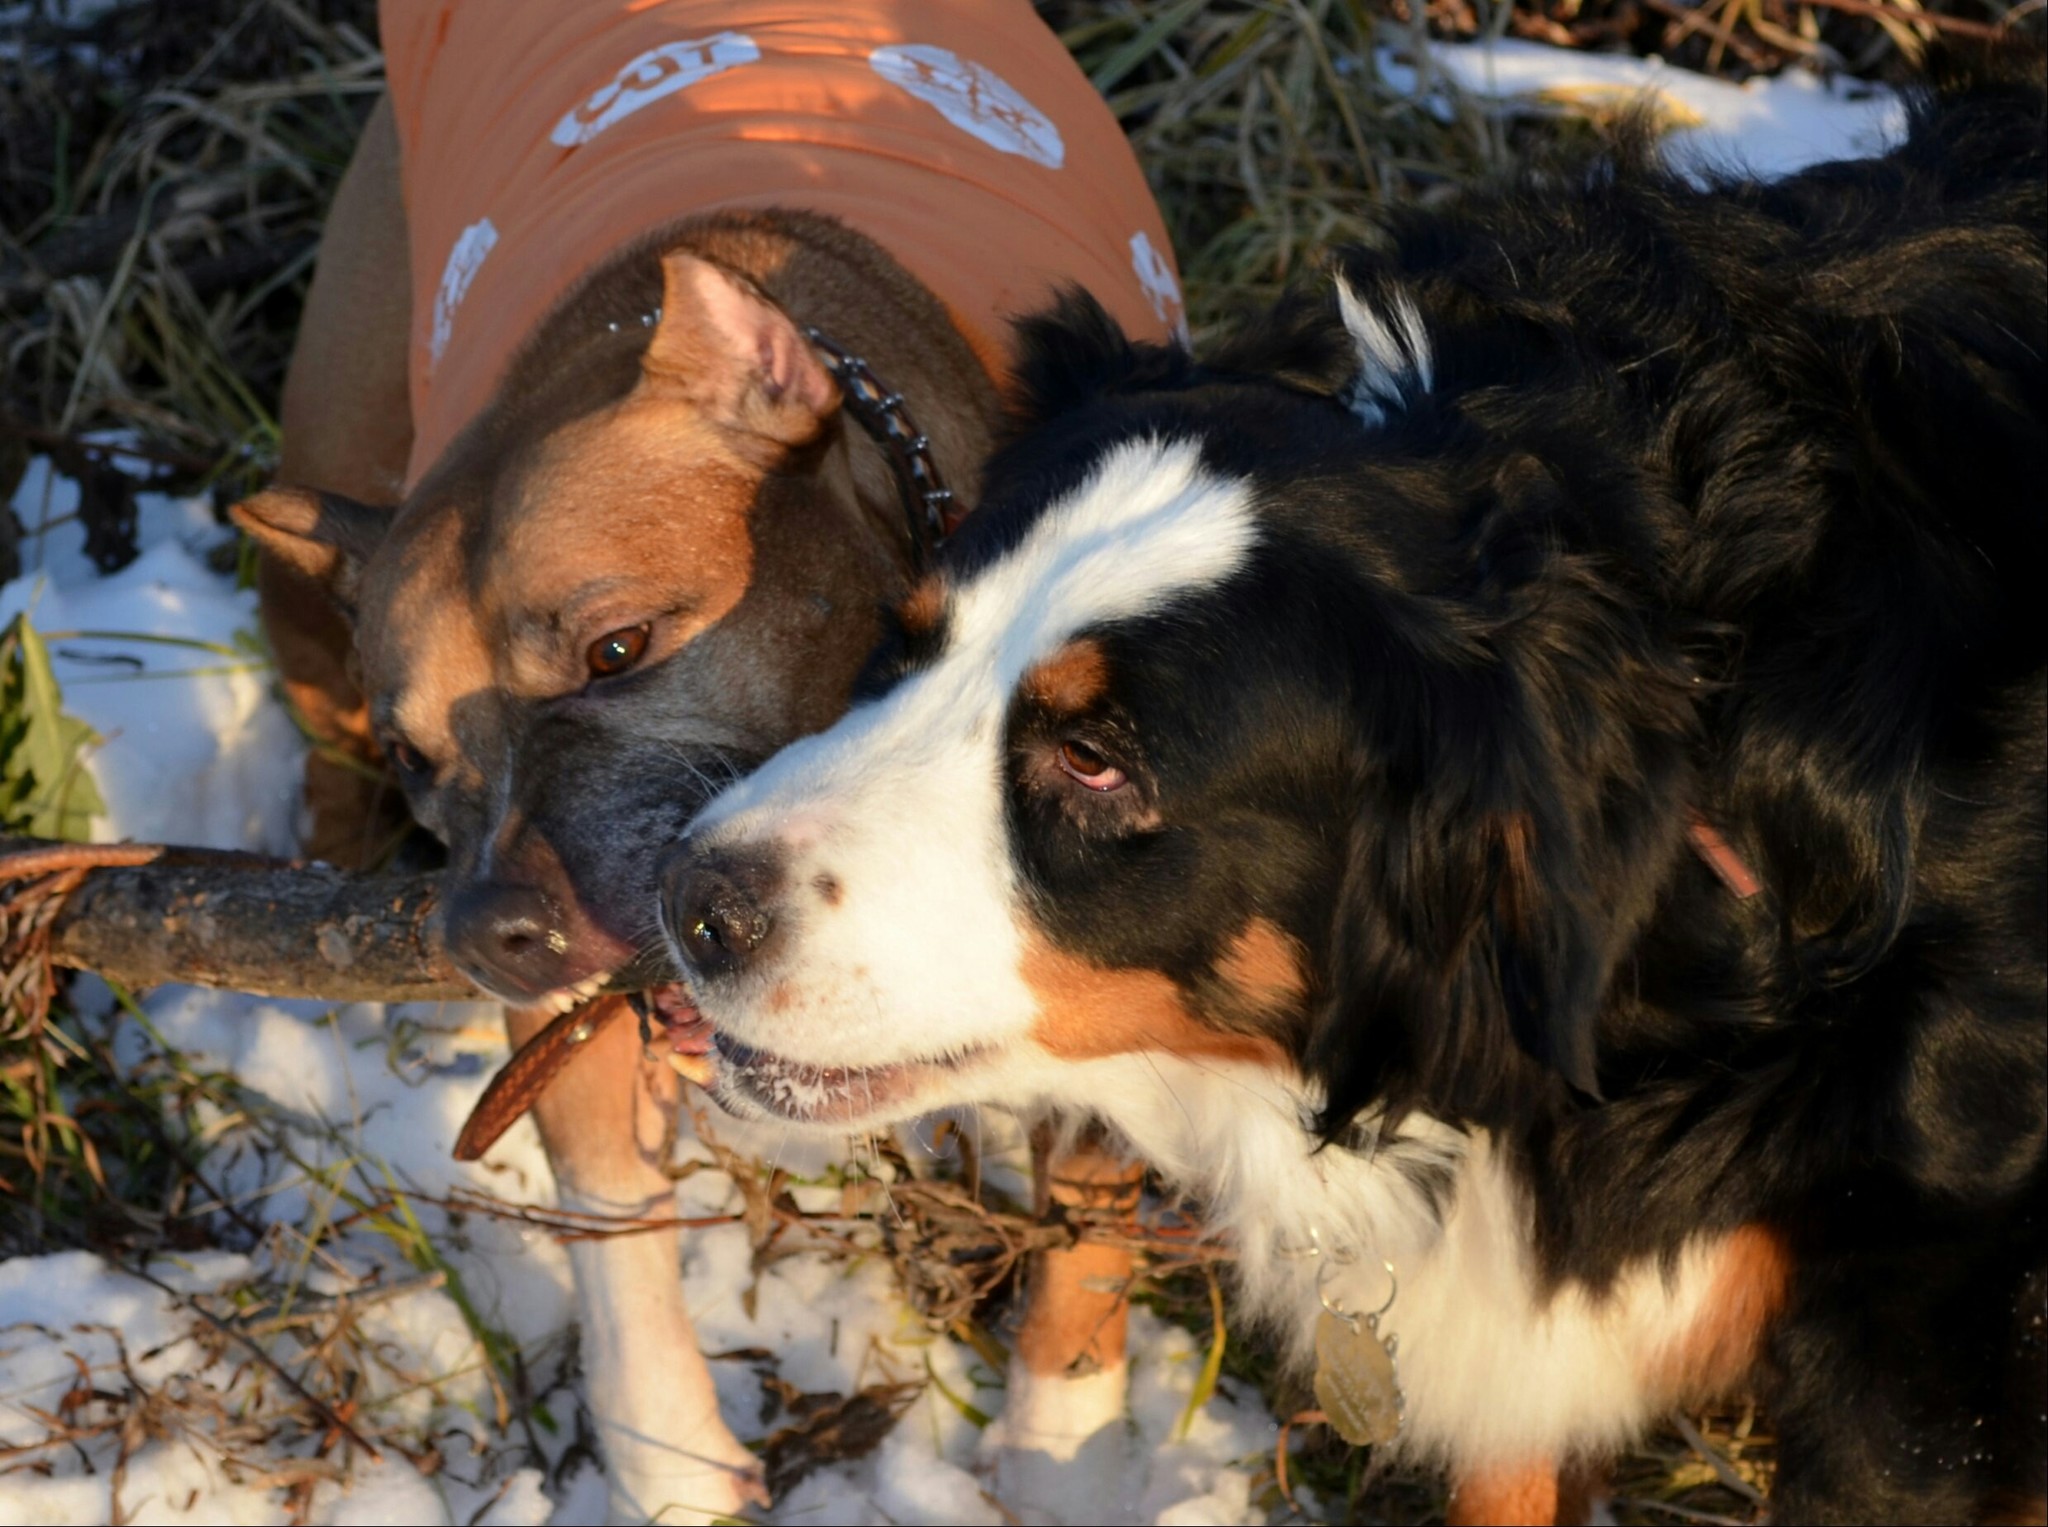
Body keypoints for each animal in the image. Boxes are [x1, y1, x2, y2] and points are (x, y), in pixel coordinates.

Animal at [230, 5, 1187, 1514]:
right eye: (420, 754)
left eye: (618, 646)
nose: (486, 931)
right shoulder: (579, 1021)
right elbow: (613, 1226)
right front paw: (668, 1456)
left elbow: (1092, 1201)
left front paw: (1064, 1450)